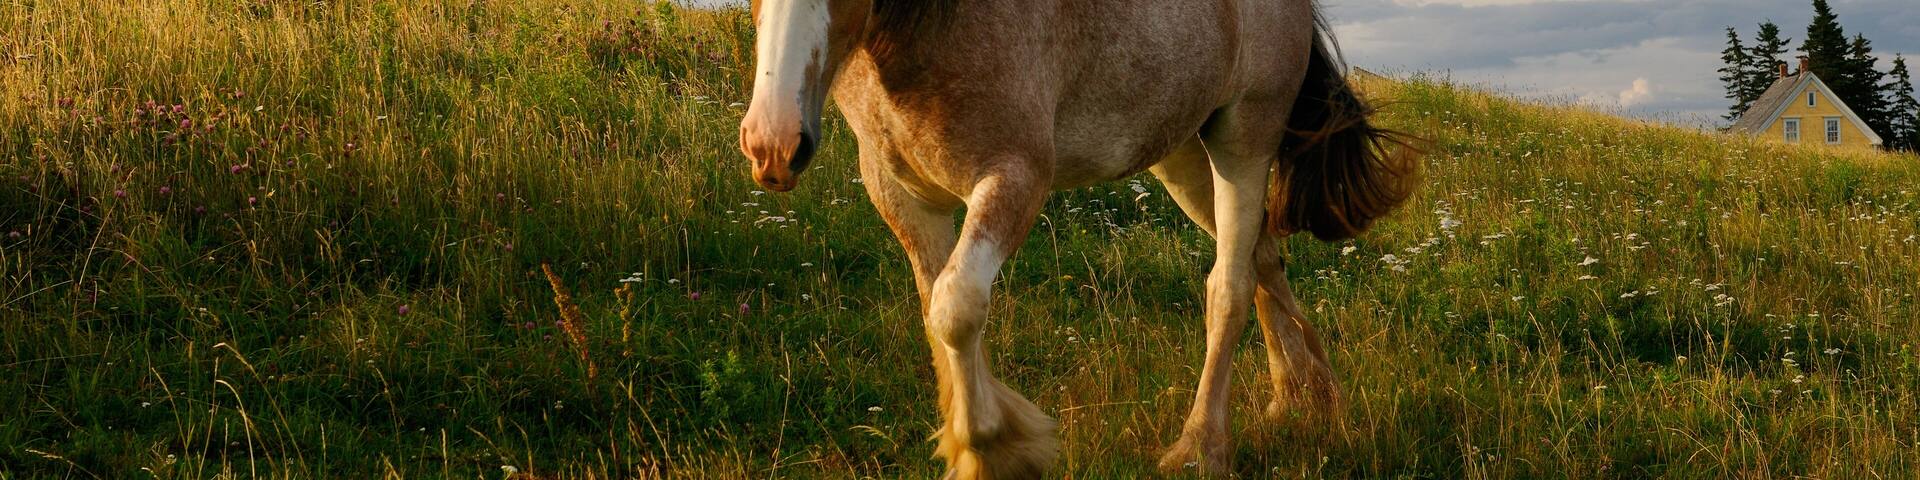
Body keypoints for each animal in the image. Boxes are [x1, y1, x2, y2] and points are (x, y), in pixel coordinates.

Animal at [737, 0, 1416, 476]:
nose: (774, 144)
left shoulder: (1014, 177)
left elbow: (957, 309)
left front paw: (999, 449)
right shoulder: (902, 196)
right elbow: (938, 313)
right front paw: (975, 438)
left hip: (1243, 139)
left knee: (1229, 283)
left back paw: (1201, 447)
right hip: (1181, 156)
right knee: (1262, 259)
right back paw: (1306, 398)